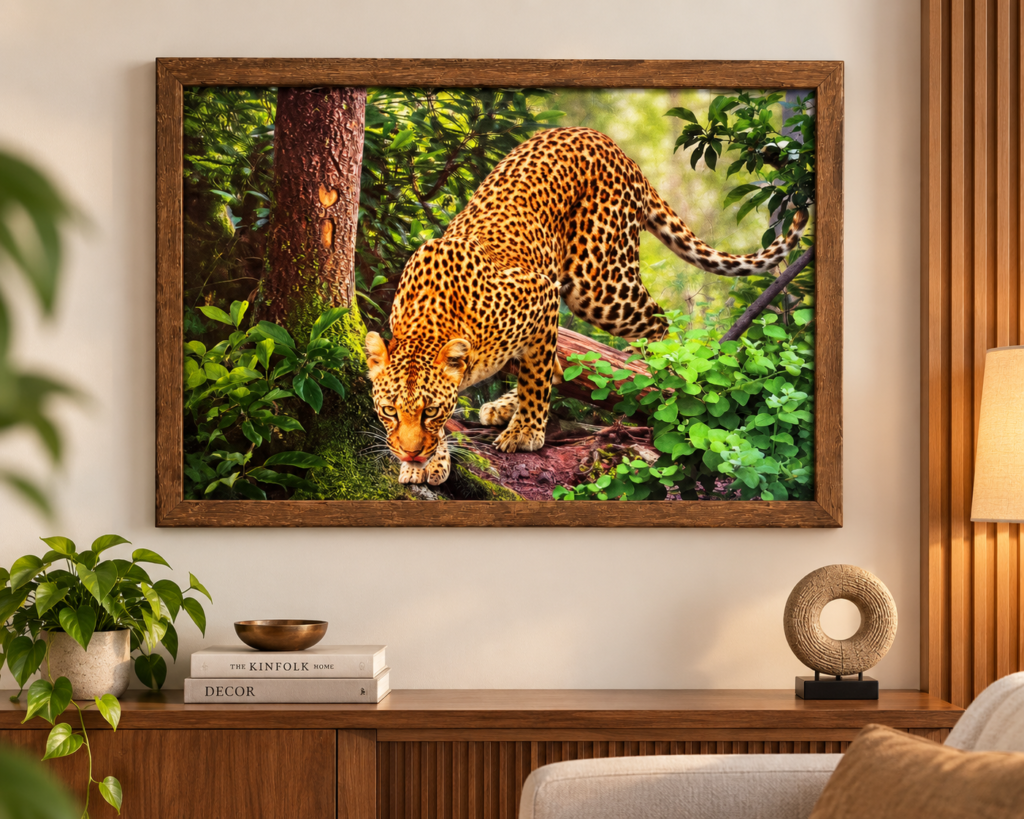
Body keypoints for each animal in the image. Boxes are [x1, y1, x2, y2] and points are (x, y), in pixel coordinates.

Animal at [364, 126, 808, 485]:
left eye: (430, 411)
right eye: (388, 410)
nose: (409, 453)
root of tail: (608, 142)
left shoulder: (542, 295)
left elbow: (537, 379)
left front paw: (525, 433)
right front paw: (428, 462)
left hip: (601, 282)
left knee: (657, 323)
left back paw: (654, 372)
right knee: (559, 363)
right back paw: (504, 406)